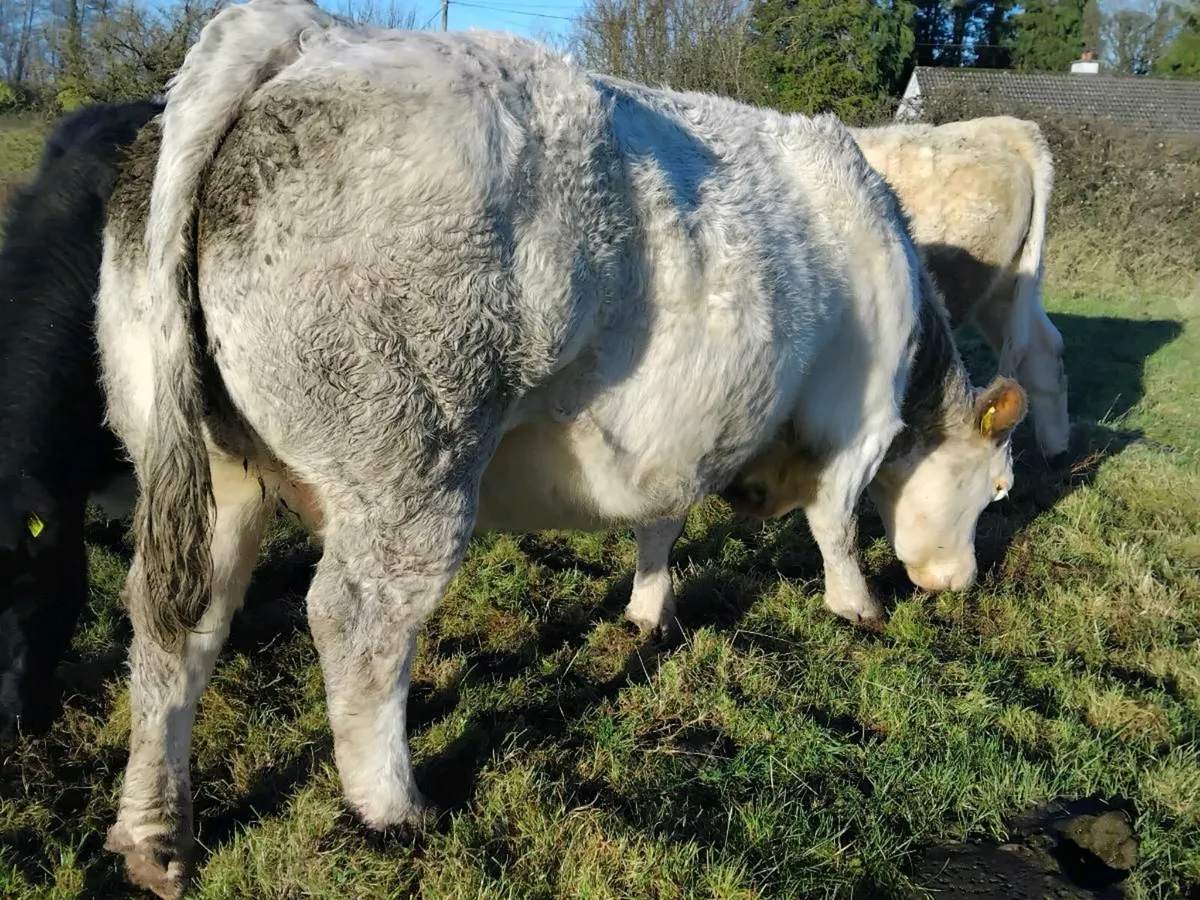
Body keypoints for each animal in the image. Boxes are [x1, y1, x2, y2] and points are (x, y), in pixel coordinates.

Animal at [95, 3, 1026, 896]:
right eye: (996, 490)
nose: (962, 582)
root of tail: (310, 35)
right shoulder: (856, 418)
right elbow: (836, 524)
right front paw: (857, 607)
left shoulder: (682, 438)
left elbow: (661, 524)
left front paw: (651, 612)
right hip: (411, 468)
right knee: (358, 623)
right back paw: (393, 807)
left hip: (211, 470)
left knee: (176, 620)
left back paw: (154, 838)